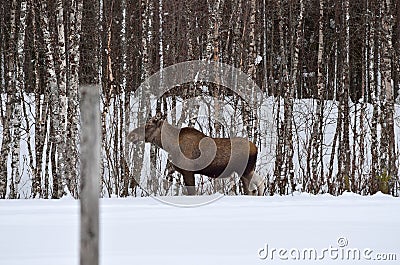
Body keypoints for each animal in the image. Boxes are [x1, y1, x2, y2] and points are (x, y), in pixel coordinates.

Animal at [129, 111, 266, 194]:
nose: (131, 135)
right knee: (259, 183)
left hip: (244, 171)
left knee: (253, 189)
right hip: (247, 170)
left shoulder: (188, 171)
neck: (170, 146)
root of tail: (256, 148)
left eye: (148, 125)